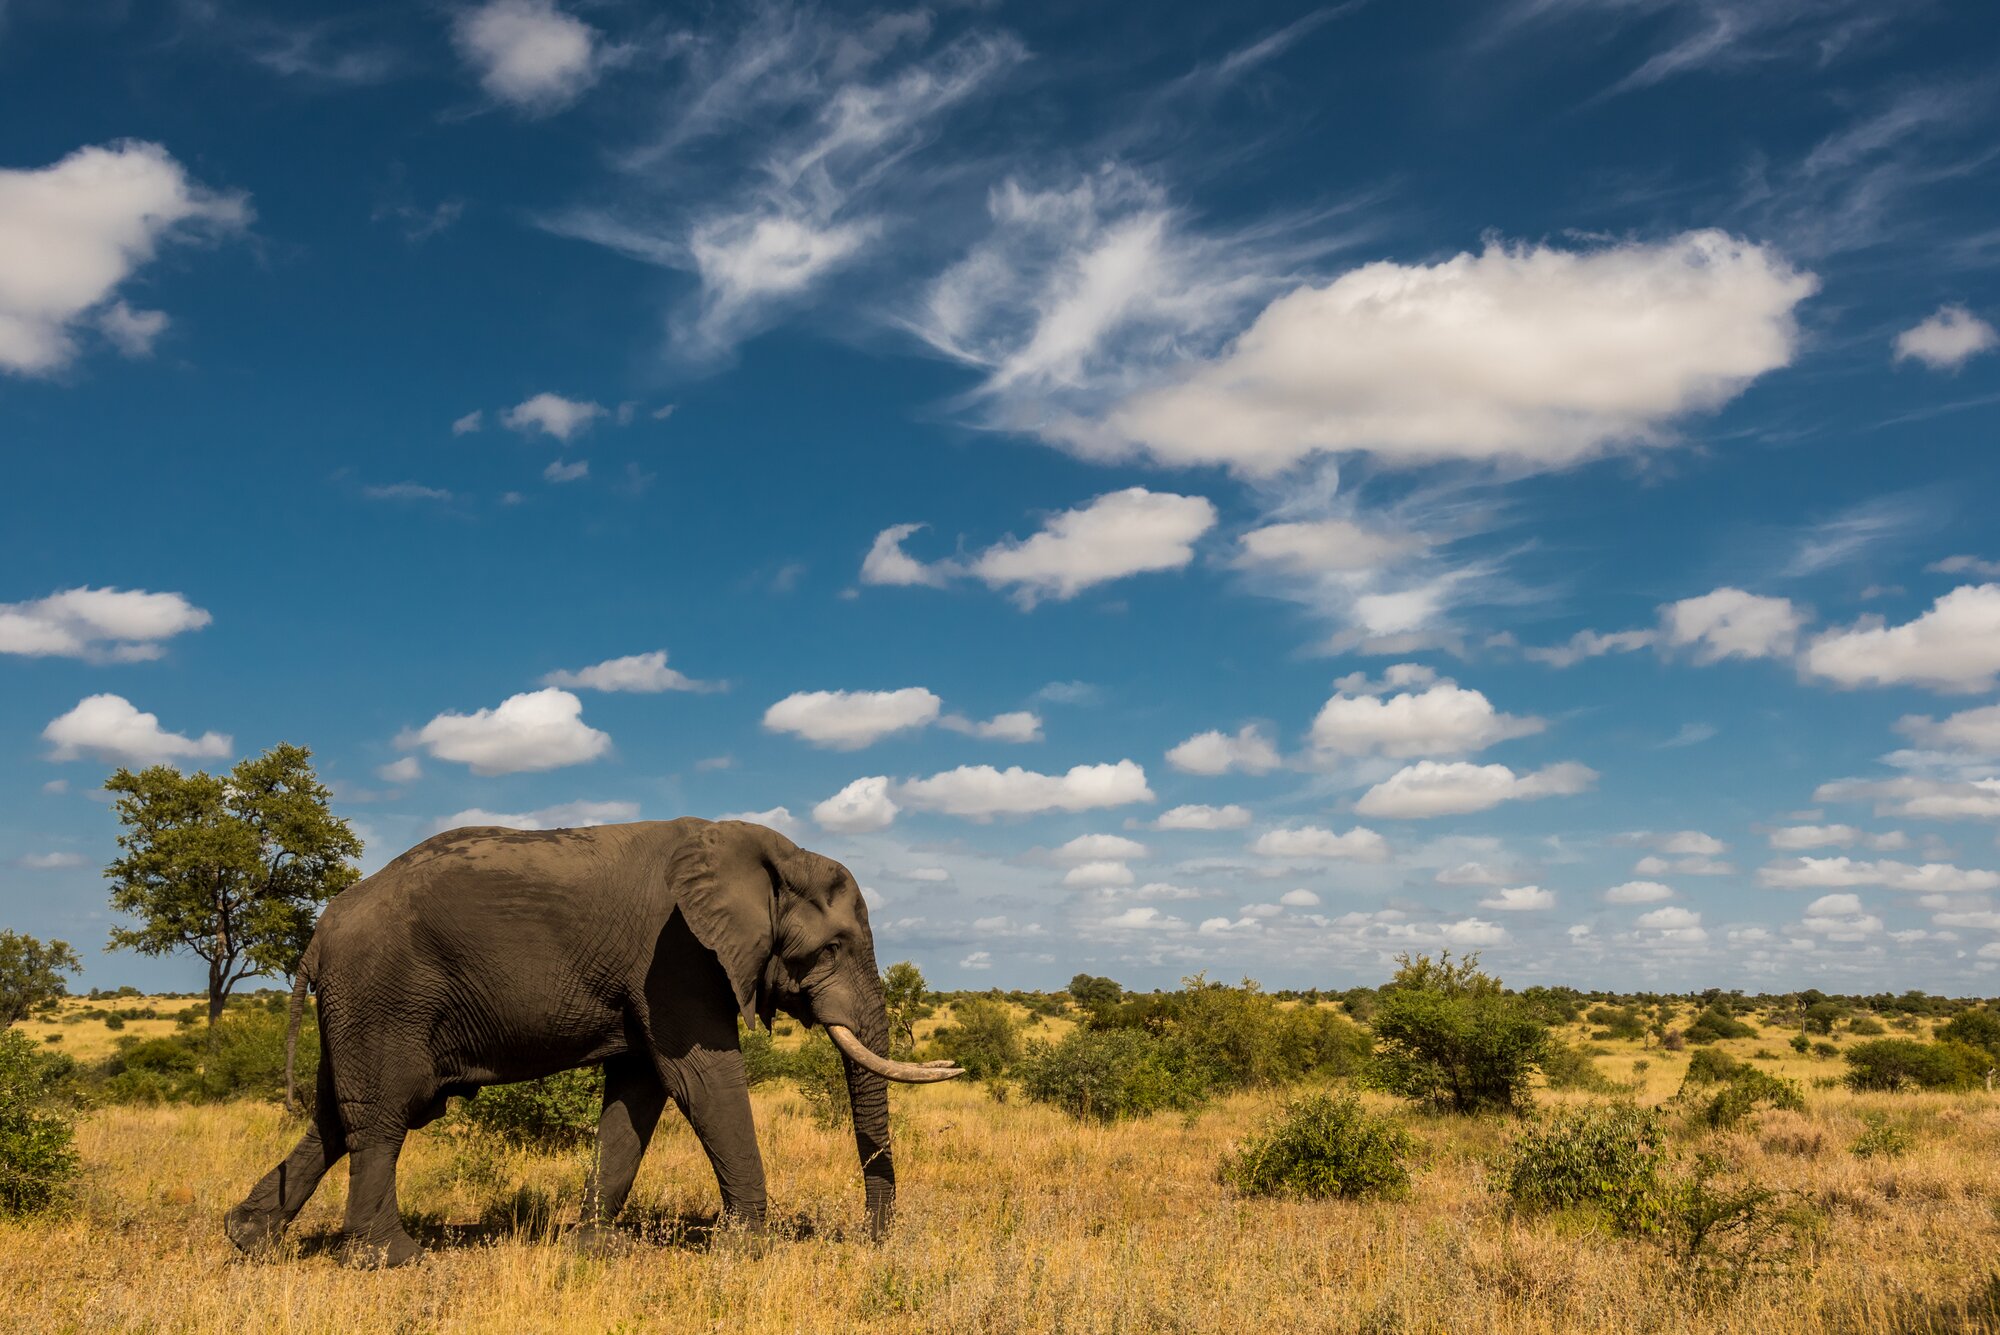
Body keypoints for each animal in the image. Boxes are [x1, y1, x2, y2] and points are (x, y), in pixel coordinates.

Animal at [222, 817, 962, 1267]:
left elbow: (638, 1093)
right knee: (382, 1115)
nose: (870, 1241)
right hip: (384, 993)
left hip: (358, 1004)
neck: (761, 850)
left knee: (333, 1116)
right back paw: (394, 1259)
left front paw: (598, 1249)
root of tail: (319, 933)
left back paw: (248, 1239)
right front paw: (745, 1249)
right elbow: (702, 1080)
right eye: (832, 948)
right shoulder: (678, 958)